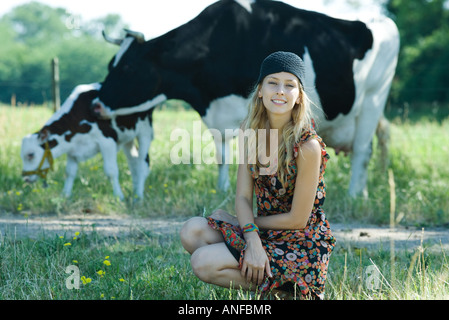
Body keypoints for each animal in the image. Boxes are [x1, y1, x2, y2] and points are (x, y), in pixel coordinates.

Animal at [20, 83, 154, 200]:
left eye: (30, 154)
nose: (26, 179)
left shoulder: (107, 142)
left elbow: (111, 171)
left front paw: (119, 197)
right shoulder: (73, 149)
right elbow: (69, 172)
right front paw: (65, 196)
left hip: (144, 131)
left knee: (142, 164)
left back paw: (139, 197)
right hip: (128, 137)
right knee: (133, 161)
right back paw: (135, 193)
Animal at [92, 0, 400, 198]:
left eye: (128, 68)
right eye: (109, 64)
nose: (95, 105)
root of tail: (381, 20)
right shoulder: (219, 116)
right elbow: (221, 156)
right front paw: (222, 190)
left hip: (373, 100)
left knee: (362, 151)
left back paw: (353, 196)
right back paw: (361, 192)